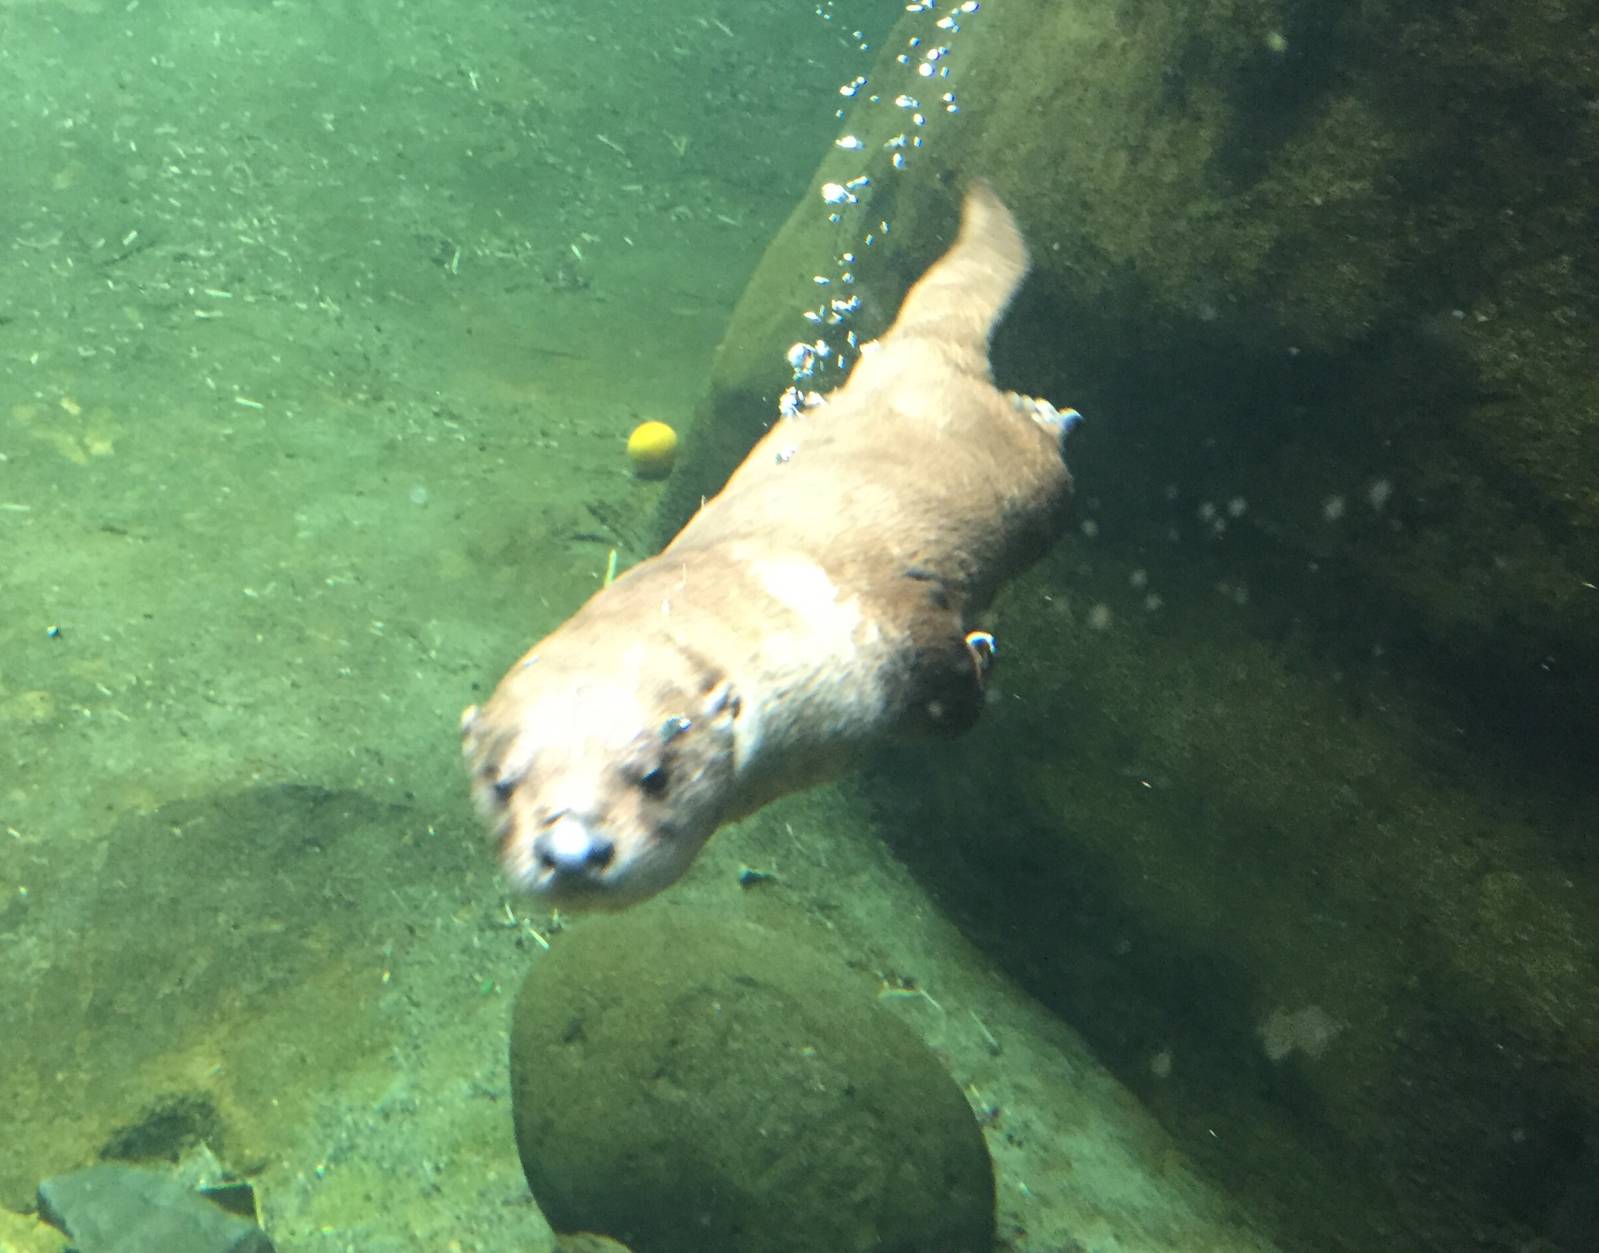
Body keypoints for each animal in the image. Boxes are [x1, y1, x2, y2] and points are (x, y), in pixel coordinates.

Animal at [460, 181, 1079, 909]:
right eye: (502, 785)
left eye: (655, 774)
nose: (573, 852)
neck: (782, 604)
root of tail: (914, 353)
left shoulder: (889, 621)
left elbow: (950, 681)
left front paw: (981, 654)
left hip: (1034, 487)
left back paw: (1049, 415)